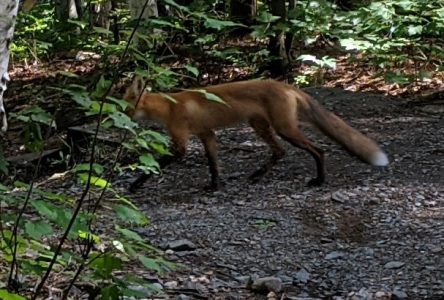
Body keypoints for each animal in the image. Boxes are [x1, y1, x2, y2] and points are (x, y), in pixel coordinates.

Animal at [123, 76, 386, 191]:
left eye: (126, 108)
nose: (118, 121)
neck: (170, 107)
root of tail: (285, 84)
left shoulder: (181, 142)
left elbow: (156, 165)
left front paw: (136, 185)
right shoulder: (207, 134)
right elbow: (213, 164)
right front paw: (215, 185)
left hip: (284, 129)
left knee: (318, 150)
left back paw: (319, 180)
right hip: (260, 126)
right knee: (280, 152)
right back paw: (257, 174)